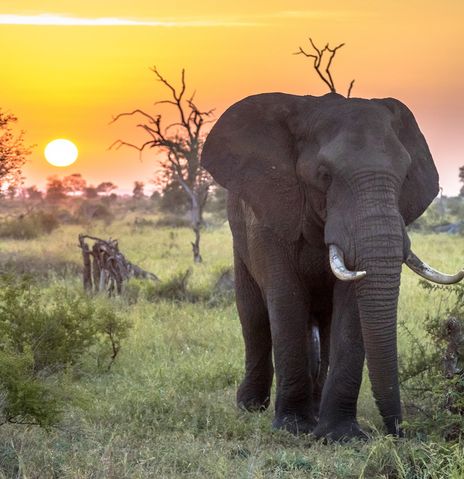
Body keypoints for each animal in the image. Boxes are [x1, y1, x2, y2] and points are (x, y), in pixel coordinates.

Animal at [200, 92, 464, 440]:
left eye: (405, 174)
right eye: (324, 175)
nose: (399, 432)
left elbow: (350, 308)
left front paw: (341, 436)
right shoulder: (271, 215)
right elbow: (285, 299)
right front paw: (293, 428)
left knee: (323, 327)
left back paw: (314, 411)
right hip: (239, 241)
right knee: (253, 316)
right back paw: (251, 407)